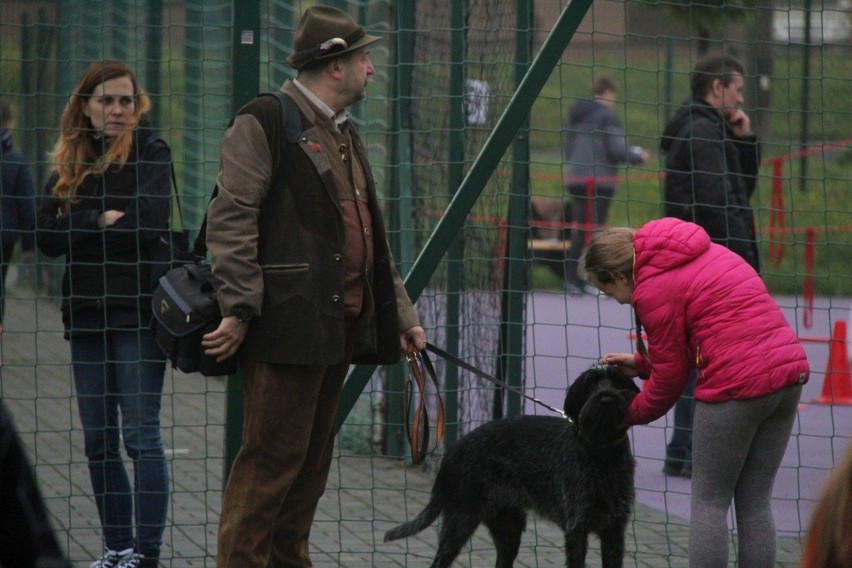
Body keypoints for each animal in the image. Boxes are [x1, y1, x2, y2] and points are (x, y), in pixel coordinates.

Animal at [382, 364, 636, 568]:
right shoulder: (577, 527)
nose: (606, 399)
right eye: (590, 384)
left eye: (617, 382)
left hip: (508, 528)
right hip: (460, 521)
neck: (602, 452)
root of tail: (453, 450)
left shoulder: (614, 530)